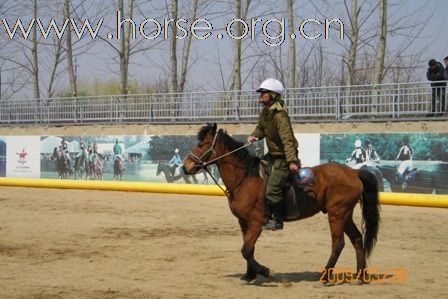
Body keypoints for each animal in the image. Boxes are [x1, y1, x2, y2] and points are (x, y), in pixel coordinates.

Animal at [183, 124, 382, 286]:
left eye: (202, 144)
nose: (186, 167)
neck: (246, 178)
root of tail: (354, 173)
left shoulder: (256, 223)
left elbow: (246, 250)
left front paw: (266, 272)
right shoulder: (244, 222)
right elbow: (248, 249)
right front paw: (249, 275)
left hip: (337, 214)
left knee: (338, 244)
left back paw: (325, 278)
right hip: (345, 215)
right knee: (357, 240)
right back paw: (361, 277)